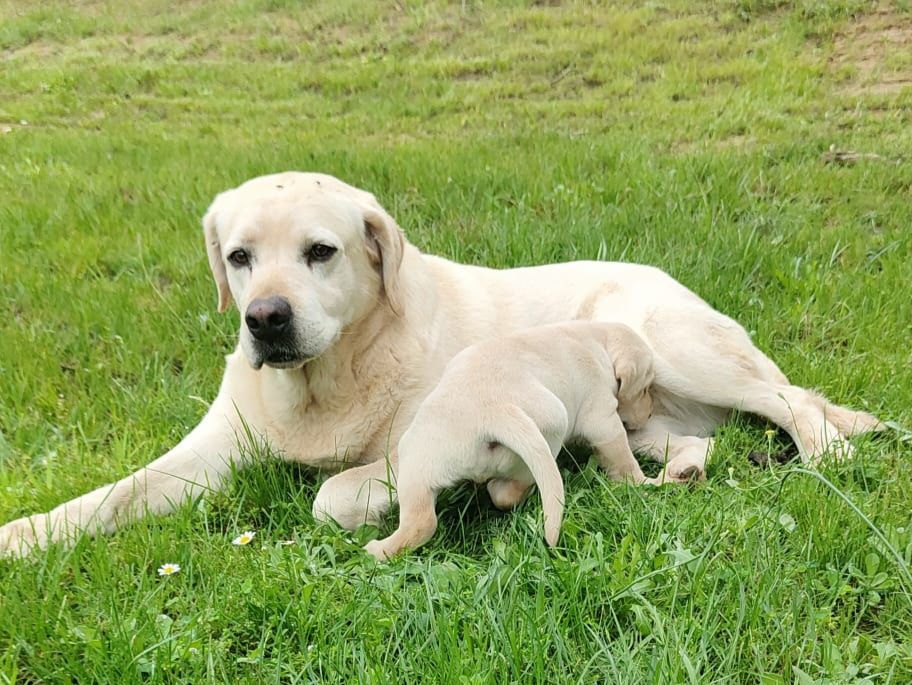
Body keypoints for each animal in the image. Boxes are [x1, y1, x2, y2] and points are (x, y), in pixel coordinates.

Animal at [366, 318, 660, 560]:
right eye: (646, 388)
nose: (650, 412)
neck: (595, 338)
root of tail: (493, 410)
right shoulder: (601, 412)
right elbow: (620, 453)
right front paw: (638, 480)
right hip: (546, 436)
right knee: (509, 490)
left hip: (418, 454)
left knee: (421, 520)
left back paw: (377, 550)